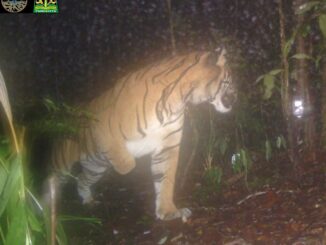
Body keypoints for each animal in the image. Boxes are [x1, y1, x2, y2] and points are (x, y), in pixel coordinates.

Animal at [44, 48, 236, 221]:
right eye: (228, 82)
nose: (235, 101)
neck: (178, 100)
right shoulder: (103, 127)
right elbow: (128, 163)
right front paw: (132, 159)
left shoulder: (167, 147)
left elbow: (165, 180)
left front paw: (168, 212)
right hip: (62, 166)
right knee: (50, 185)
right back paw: (43, 213)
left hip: (95, 167)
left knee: (81, 179)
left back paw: (88, 201)